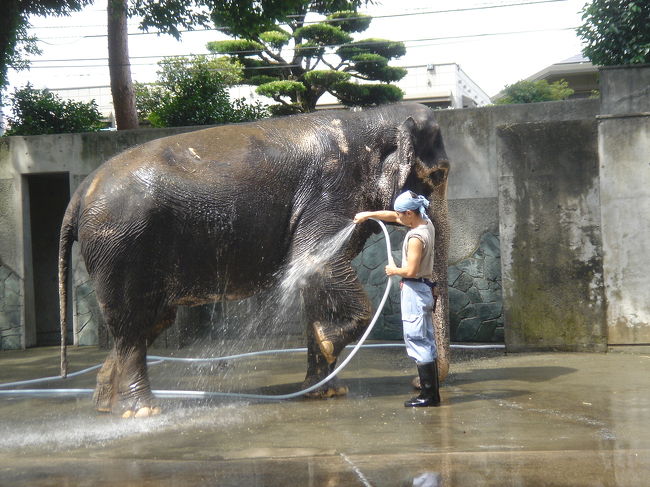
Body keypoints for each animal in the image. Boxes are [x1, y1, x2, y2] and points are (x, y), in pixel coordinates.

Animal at [58, 101, 448, 418]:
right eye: (439, 175)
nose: (417, 386)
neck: (370, 116)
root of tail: (79, 193)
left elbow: (311, 282)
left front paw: (325, 391)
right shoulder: (330, 190)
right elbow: (318, 263)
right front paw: (328, 342)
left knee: (150, 321)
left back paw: (106, 404)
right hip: (120, 245)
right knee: (130, 323)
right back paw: (141, 411)